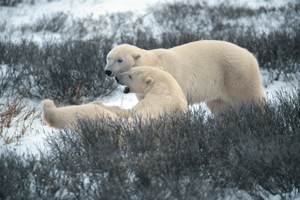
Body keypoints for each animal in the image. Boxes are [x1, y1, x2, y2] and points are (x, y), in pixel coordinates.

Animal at [41, 66, 188, 130]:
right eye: (129, 70)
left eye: (130, 76)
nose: (117, 77)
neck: (165, 89)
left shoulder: (151, 102)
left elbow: (128, 111)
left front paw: (99, 103)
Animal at [104, 39, 264, 115]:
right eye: (108, 58)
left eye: (120, 60)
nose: (108, 71)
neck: (151, 62)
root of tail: (250, 55)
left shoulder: (173, 77)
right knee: (219, 105)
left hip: (236, 74)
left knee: (250, 97)